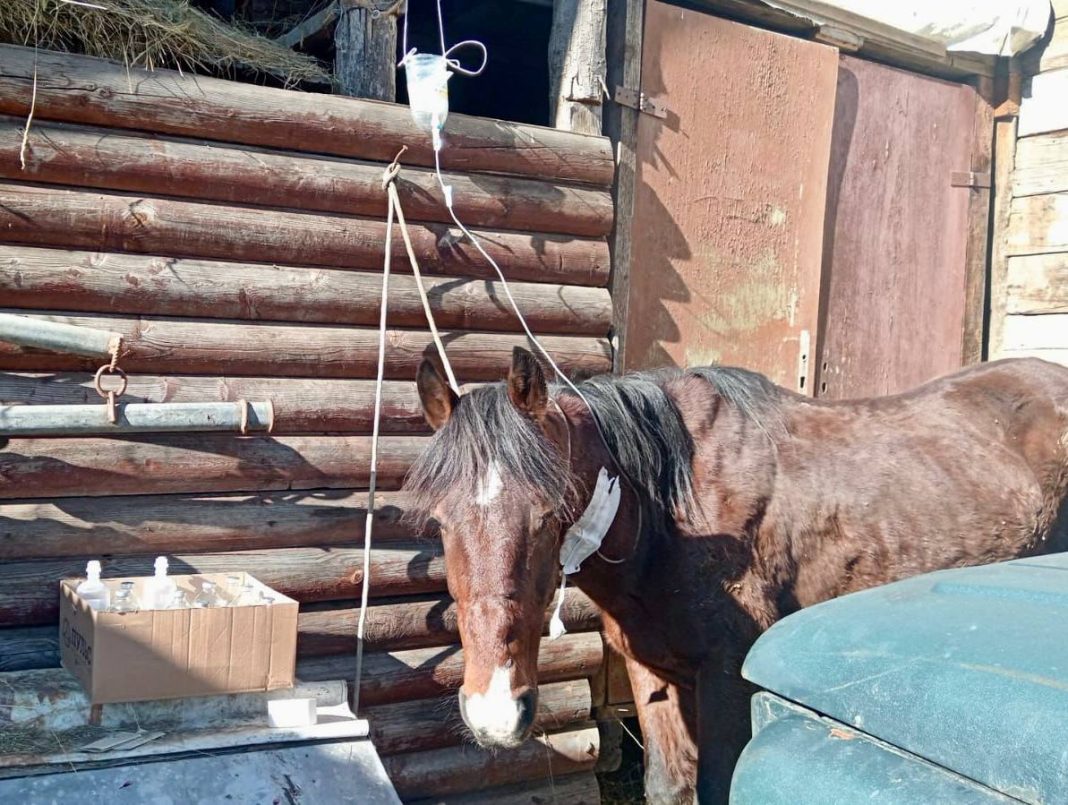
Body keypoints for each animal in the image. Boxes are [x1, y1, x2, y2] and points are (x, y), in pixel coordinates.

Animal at [404, 348, 1068, 804]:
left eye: (547, 514)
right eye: (440, 519)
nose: (494, 713)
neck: (674, 512)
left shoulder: (727, 679)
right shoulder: (654, 674)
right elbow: (670, 786)